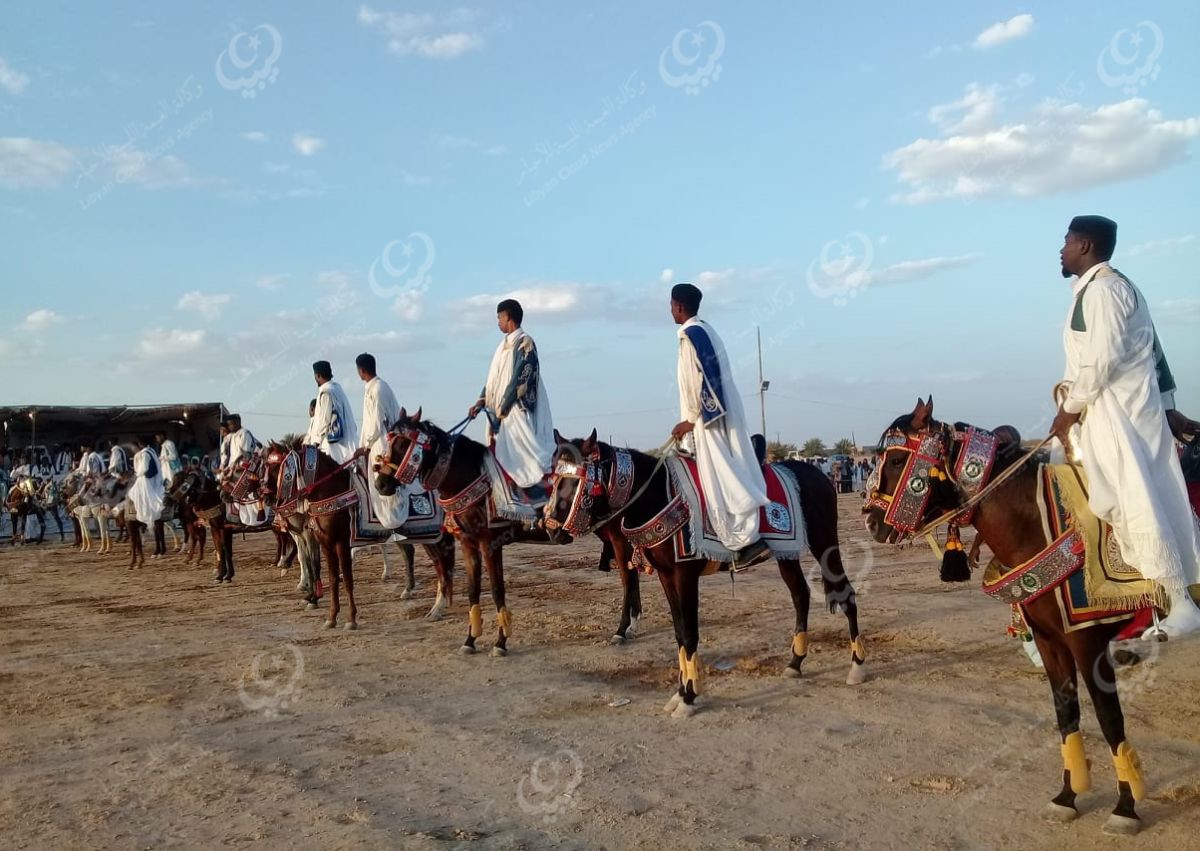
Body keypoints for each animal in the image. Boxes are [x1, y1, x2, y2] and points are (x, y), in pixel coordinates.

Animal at [374, 408, 571, 652]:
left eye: (403, 443)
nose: (381, 484)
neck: (472, 479)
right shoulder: (468, 544)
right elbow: (472, 590)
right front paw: (470, 640)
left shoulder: (490, 545)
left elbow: (497, 590)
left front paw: (500, 643)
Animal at [544, 424, 864, 715]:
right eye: (554, 477)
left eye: (574, 479)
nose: (550, 528)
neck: (659, 496)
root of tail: (820, 477)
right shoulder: (665, 576)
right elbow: (678, 633)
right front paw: (680, 691)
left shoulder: (684, 575)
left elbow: (689, 633)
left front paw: (688, 697)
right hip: (786, 552)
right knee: (800, 595)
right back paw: (795, 663)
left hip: (825, 543)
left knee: (846, 595)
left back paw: (857, 667)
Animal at [868, 400, 1156, 835]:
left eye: (899, 459)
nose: (870, 520)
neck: (1039, 523)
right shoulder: (1051, 642)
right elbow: (1066, 714)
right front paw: (1067, 797)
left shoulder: (1088, 644)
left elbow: (1110, 719)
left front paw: (1125, 807)